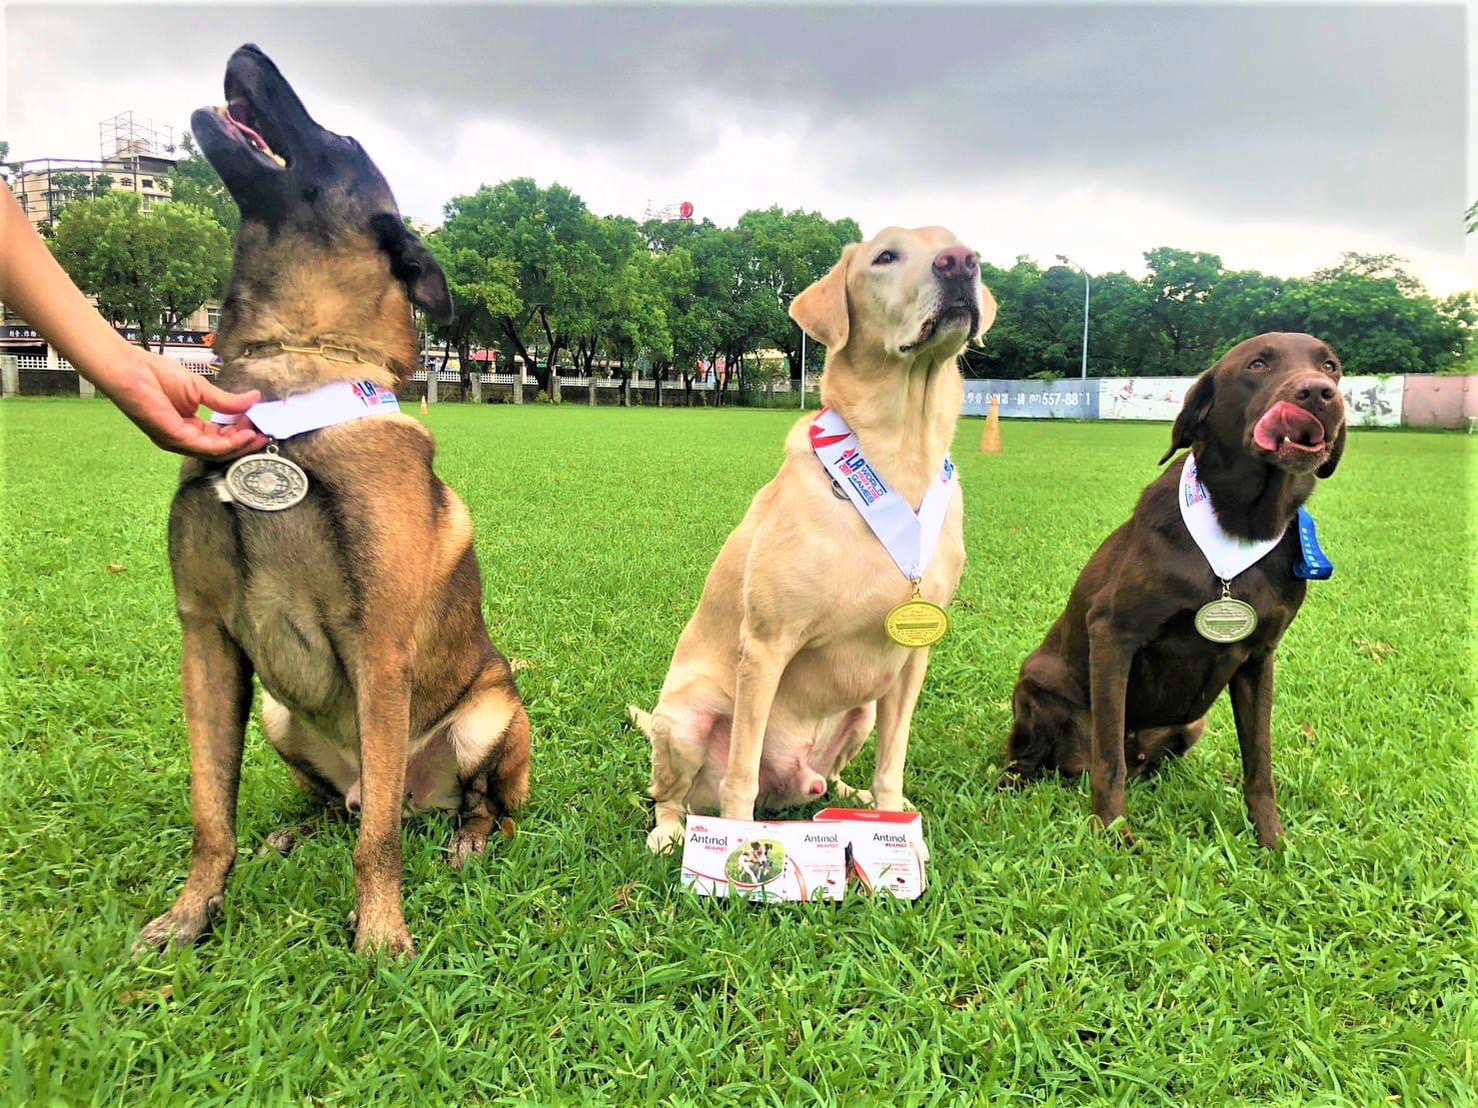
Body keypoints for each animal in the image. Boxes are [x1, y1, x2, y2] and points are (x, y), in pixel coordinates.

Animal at [130, 47, 529, 957]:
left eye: (339, 139)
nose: (248, 52)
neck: (289, 384)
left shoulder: (378, 650)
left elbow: (377, 840)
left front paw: (379, 934)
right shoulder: (205, 640)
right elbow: (212, 813)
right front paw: (192, 912)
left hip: (490, 716)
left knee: (457, 808)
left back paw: (465, 840)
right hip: (280, 717)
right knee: (346, 804)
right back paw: (295, 833)